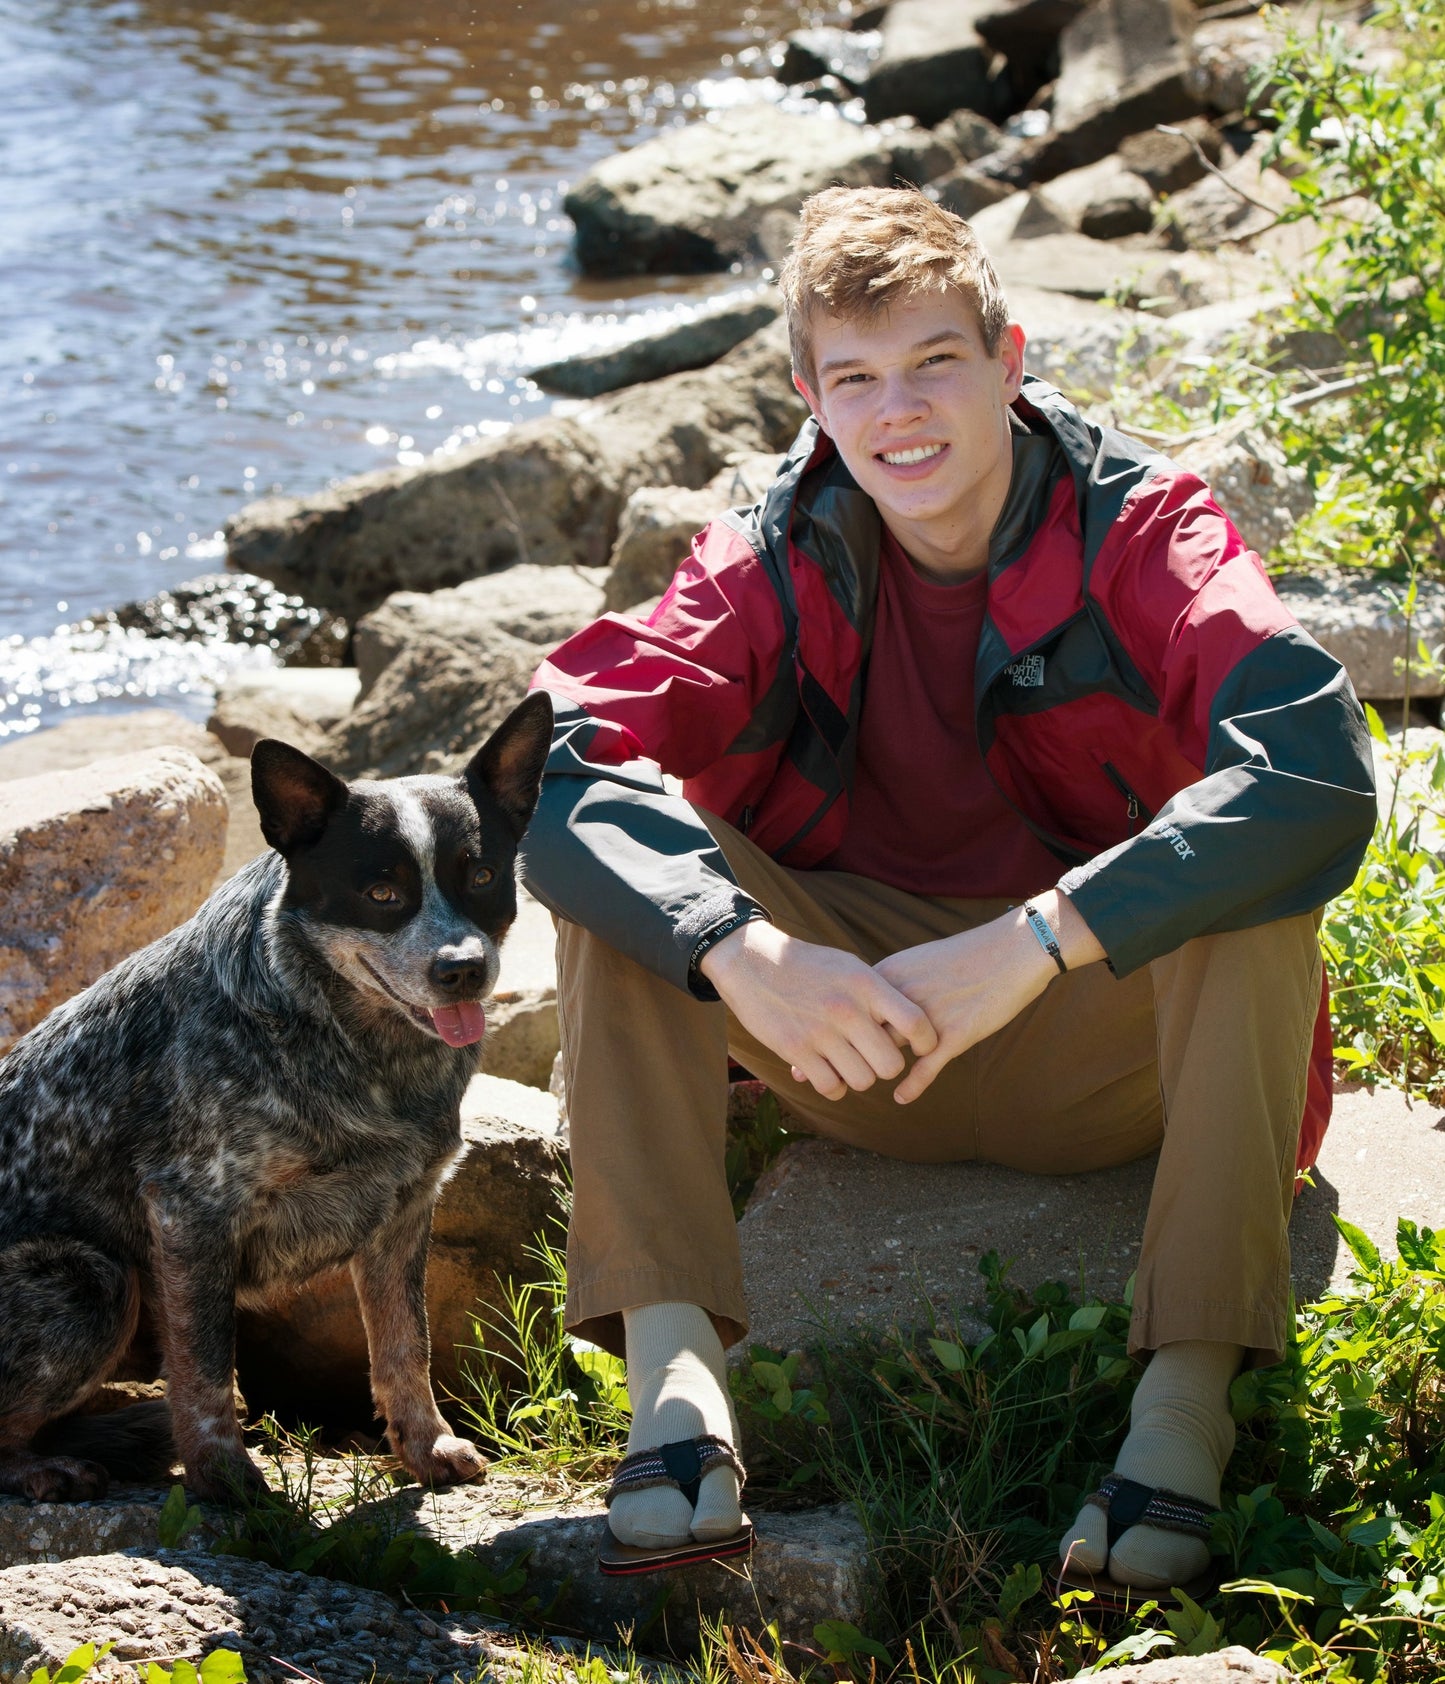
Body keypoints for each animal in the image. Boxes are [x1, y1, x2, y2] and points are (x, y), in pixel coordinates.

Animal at [0, 690, 552, 1508]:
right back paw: (48, 1466)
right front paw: (225, 1479)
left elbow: (404, 1346)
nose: (462, 969)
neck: (359, 1049)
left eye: (480, 876)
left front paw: (425, 1449)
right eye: (381, 893)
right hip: (90, 1281)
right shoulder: (191, 1212)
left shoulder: (403, 1210)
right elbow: (206, 1370)